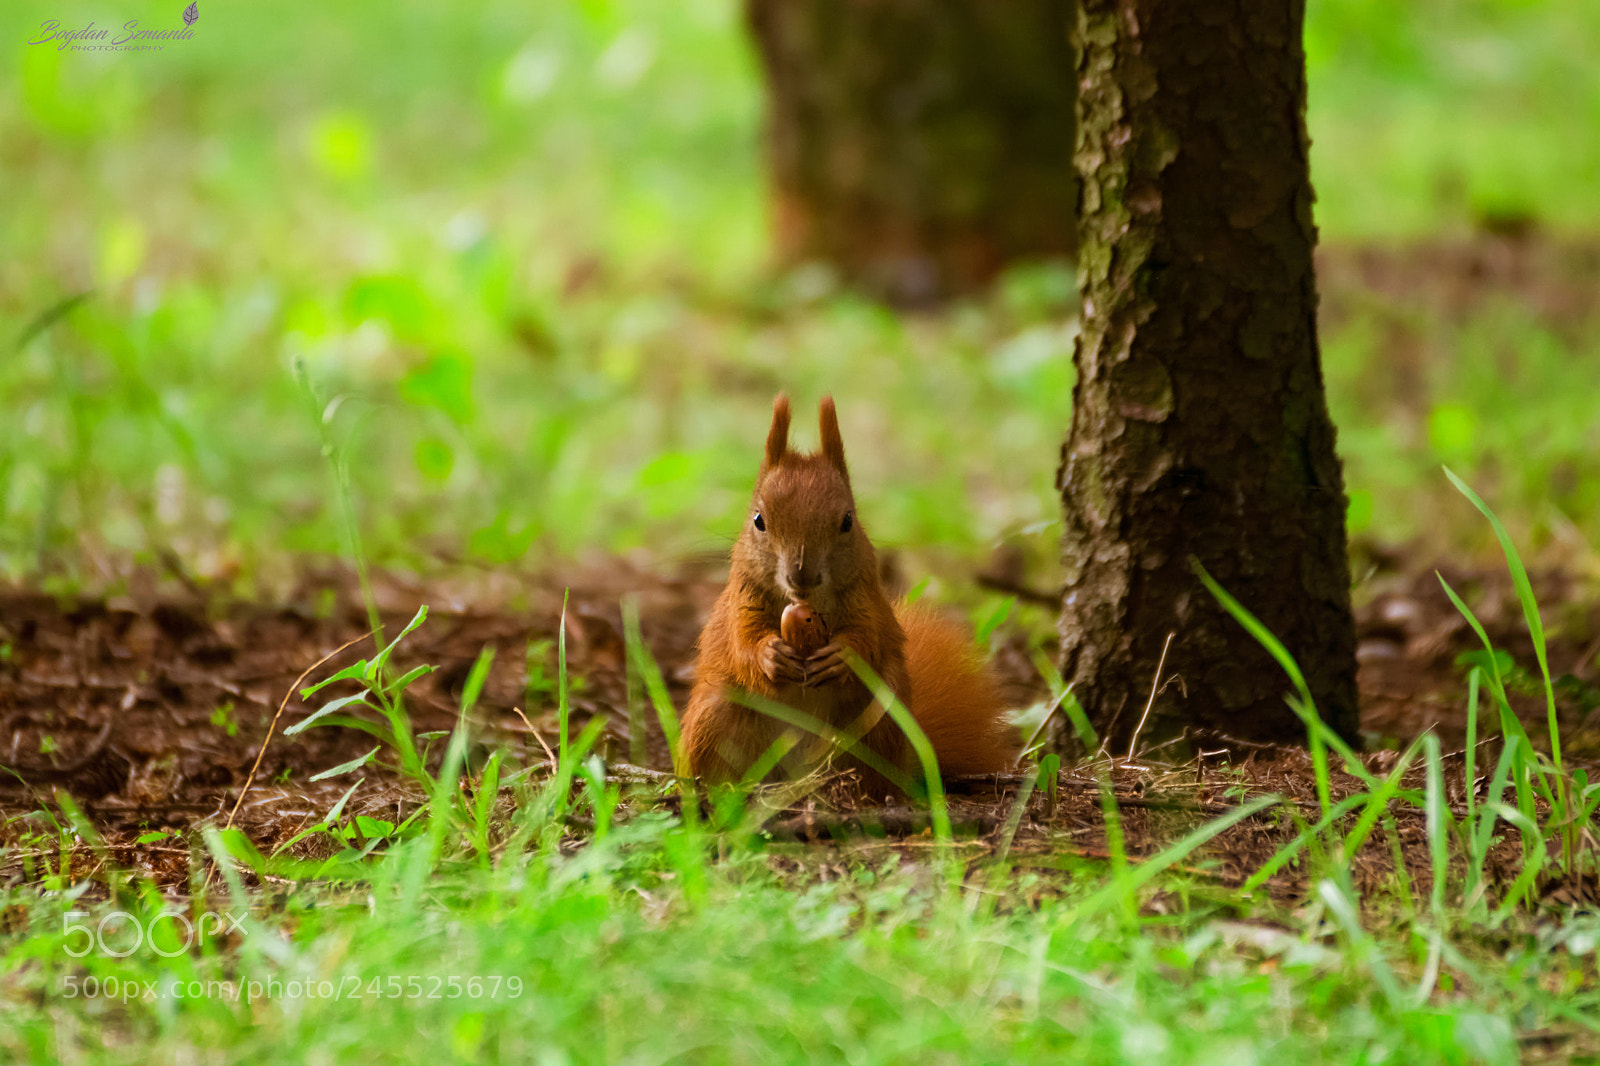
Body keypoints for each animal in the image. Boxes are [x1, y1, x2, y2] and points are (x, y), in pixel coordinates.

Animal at [680, 394, 1020, 795]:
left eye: (847, 521)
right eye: (758, 520)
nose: (802, 575)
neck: (805, 602)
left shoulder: (865, 596)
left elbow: (867, 636)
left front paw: (842, 656)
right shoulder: (742, 596)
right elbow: (741, 640)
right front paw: (769, 655)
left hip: (880, 720)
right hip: (713, 719)